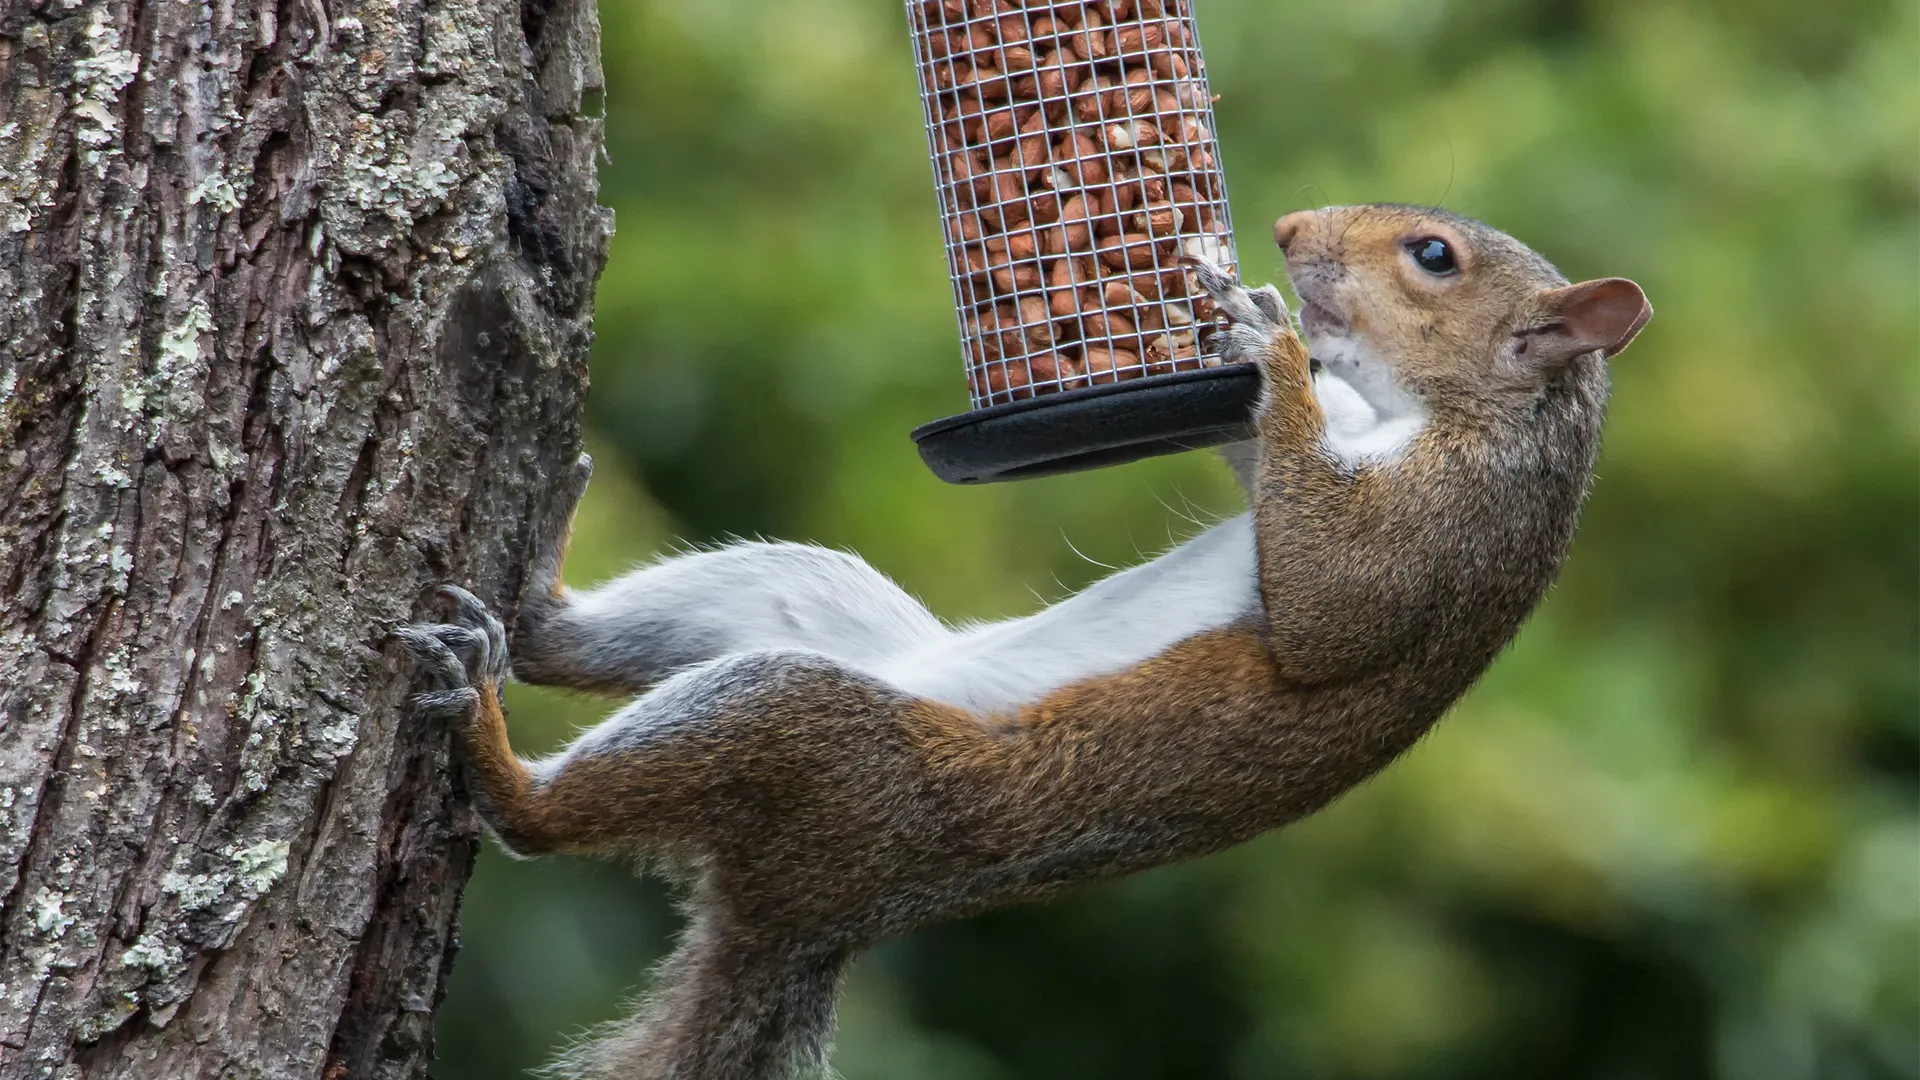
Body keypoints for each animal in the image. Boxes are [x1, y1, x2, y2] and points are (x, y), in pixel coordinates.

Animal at [397, 203, 1643, 1076]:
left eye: (1433, 257)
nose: (1289, 231)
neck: (1440, 417)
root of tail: (815, 913)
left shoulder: (1440, 541)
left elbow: (1326, 610)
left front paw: (1271, 343)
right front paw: (1238, 320)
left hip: (812, 738)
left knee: (549, 818)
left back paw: (494, 744)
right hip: (804, 597)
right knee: (568, 647)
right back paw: (536, 574)